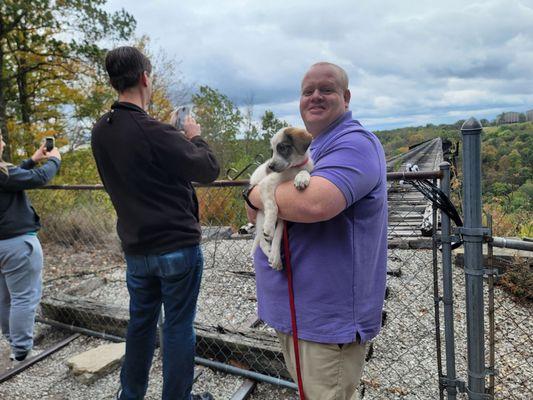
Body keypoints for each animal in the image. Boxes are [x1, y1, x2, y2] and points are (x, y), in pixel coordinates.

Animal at [248, 126, 312, 270]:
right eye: (272, 151)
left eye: (282, 147)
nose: (270, 166)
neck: (293, 168)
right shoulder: (265, 185)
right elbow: (273, 206)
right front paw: (269, 227)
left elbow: (305, 172)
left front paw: (301, 178)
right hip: (261, 214)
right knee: (262, 242)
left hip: (284, 218)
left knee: (278, 235)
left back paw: (275, 257)